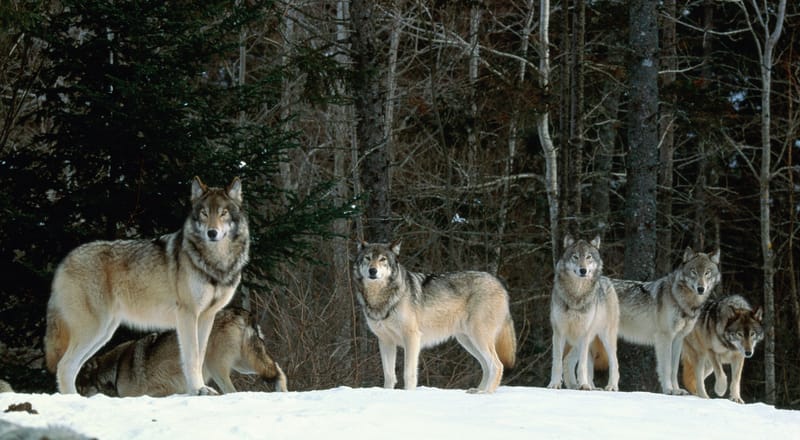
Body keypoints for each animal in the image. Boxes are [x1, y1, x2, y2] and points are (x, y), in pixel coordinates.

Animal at [45, 176, 250, 396]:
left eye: (223, 213)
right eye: (204, 213)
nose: (212, 232)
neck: (214, 263)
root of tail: (65, 261)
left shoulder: (206, 316)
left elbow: (200, 355)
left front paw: (198, 389)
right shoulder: (187, 314)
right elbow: (192, 358)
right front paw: (197, 390)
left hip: (104, 333)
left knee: (72, 367)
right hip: (93, 330)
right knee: (64, 366)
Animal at [77, 308, 287, 397]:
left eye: (79, 387)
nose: (76, 396)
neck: (115, 369)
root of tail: (243, 312)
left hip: (217, 367)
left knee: (231, 391)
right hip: (245, 364)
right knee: (278, 369)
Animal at [353, 241, 516, 393]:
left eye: (382, 259)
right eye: (368, 258)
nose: (372, 271)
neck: (381, 298)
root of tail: (500, 284)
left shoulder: (412, 337)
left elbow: (409, 373)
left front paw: (408, 394)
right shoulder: (385, 341)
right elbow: (389, 375)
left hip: (478, 337)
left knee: (497, 365)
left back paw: (486, 393)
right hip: (467, 341)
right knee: (486, 366)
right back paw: (477, 391)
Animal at [547, 235, 620, 391]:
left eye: (588, 257)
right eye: (575, 257)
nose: (583, 270)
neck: (576, 295)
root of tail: (608, 280)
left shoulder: (584, 334)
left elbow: (582, 365)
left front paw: (584, 385)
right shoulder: (559, 332)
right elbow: (557, 362)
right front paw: (554, 384)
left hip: (605, 338)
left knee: (614, 362)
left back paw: (610, 386)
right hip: (579, 341)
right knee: (569, 361)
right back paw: (579, 386)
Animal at [607, 248, 721, 395]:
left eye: (707, 272)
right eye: (693, 271)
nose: (701, 288)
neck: (681, 300)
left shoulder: (678, 339)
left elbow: (674, 369)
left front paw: (677, 390)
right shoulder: (665, 337)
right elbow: (666, 367)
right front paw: (668, 389)